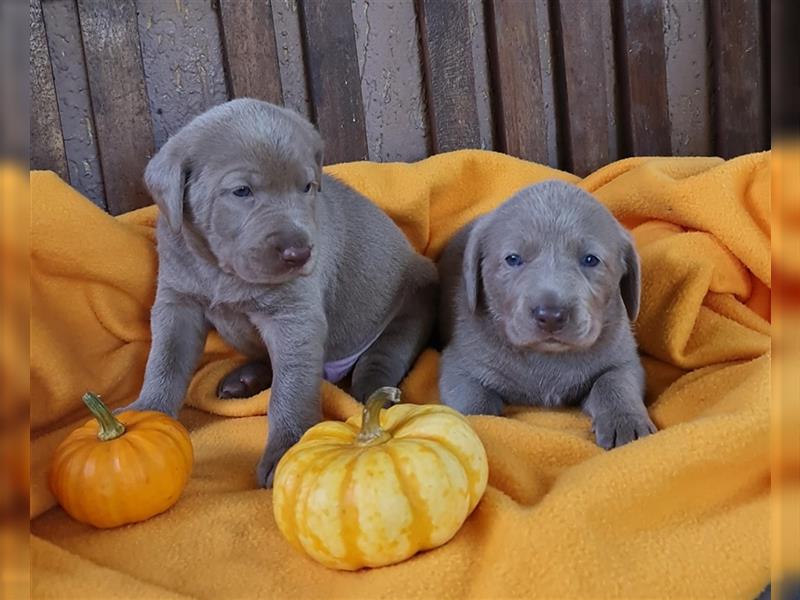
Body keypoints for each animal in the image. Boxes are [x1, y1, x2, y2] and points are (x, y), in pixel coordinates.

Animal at [125, 97, 438, 482]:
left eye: (307, 187)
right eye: (242, 191)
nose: (299, 254)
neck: (220, 270)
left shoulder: (294, 317)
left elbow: (290, 389)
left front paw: (286, 449)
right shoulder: (176, 302)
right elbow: (165, 360)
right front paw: (147, 414)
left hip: (411, 306)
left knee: (382, 357)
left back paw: (370, 392)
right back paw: (243, 380)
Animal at [438, 180, 656, 448]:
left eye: (590, 260)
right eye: (513, 259)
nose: (551, 315)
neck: (547, 356)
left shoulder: (624, 359)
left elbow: (615, 382)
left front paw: (626, 422)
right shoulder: (459, 365)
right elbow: (475, 404)